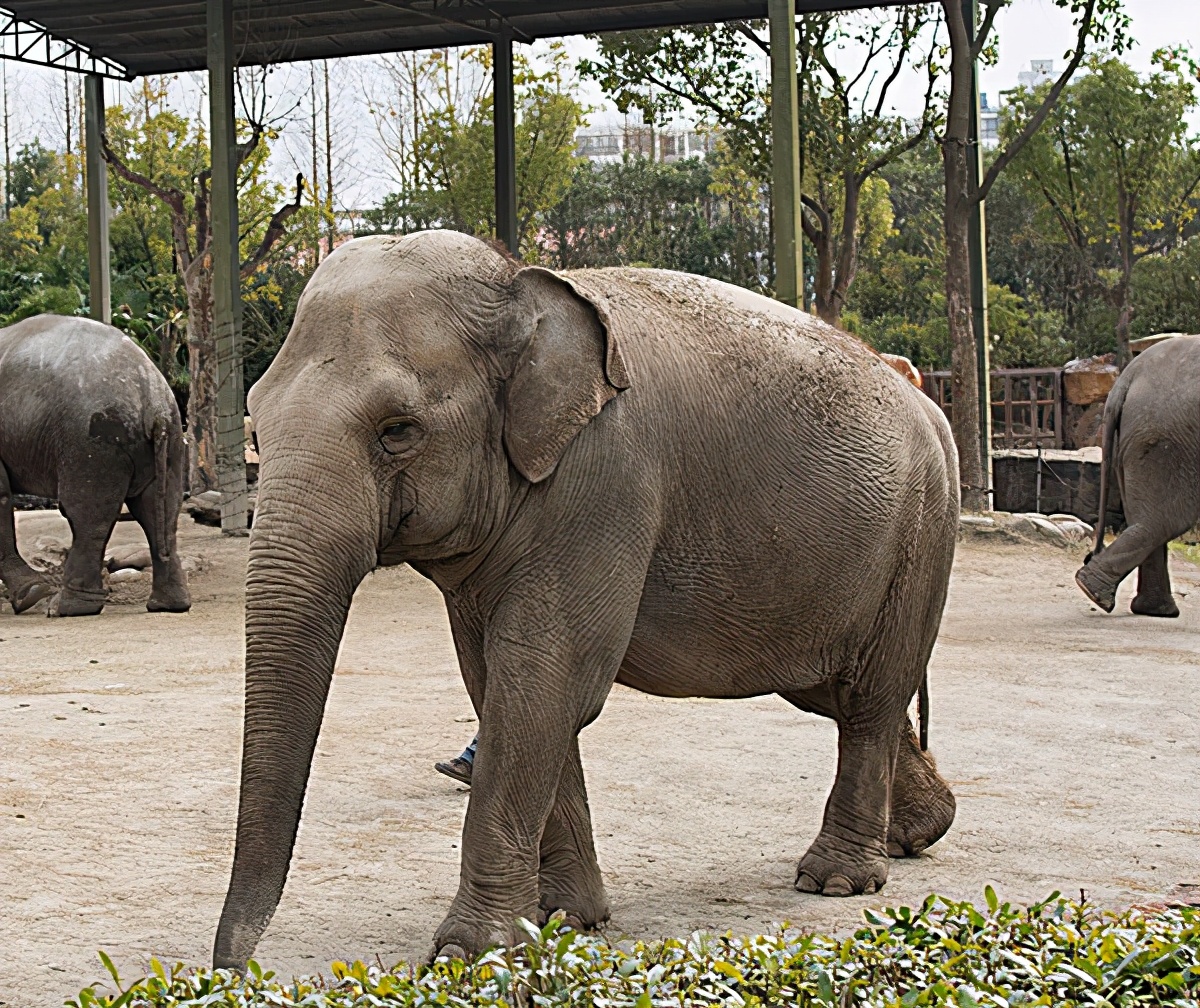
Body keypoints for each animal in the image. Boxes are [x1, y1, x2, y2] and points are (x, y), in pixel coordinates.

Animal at [0, 312, 189, 614]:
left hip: (91, 440)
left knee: (87, 516)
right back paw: (168, 605)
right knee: (160, 511)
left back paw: (64, 609)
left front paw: (31, 596)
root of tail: (153, 400)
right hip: (169, 438)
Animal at [216, 230, 960, 969]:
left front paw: (470, 954)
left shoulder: (606, 479)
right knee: (834, 690)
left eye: (397, 430)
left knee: (870, 697)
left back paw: (835, 880)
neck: (520, 283)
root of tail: (926, 403)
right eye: (256, 428)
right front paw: (563, 921)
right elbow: (500, 684)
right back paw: (918, 833)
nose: (233, 967)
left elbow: (543, 683)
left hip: (921, 535)